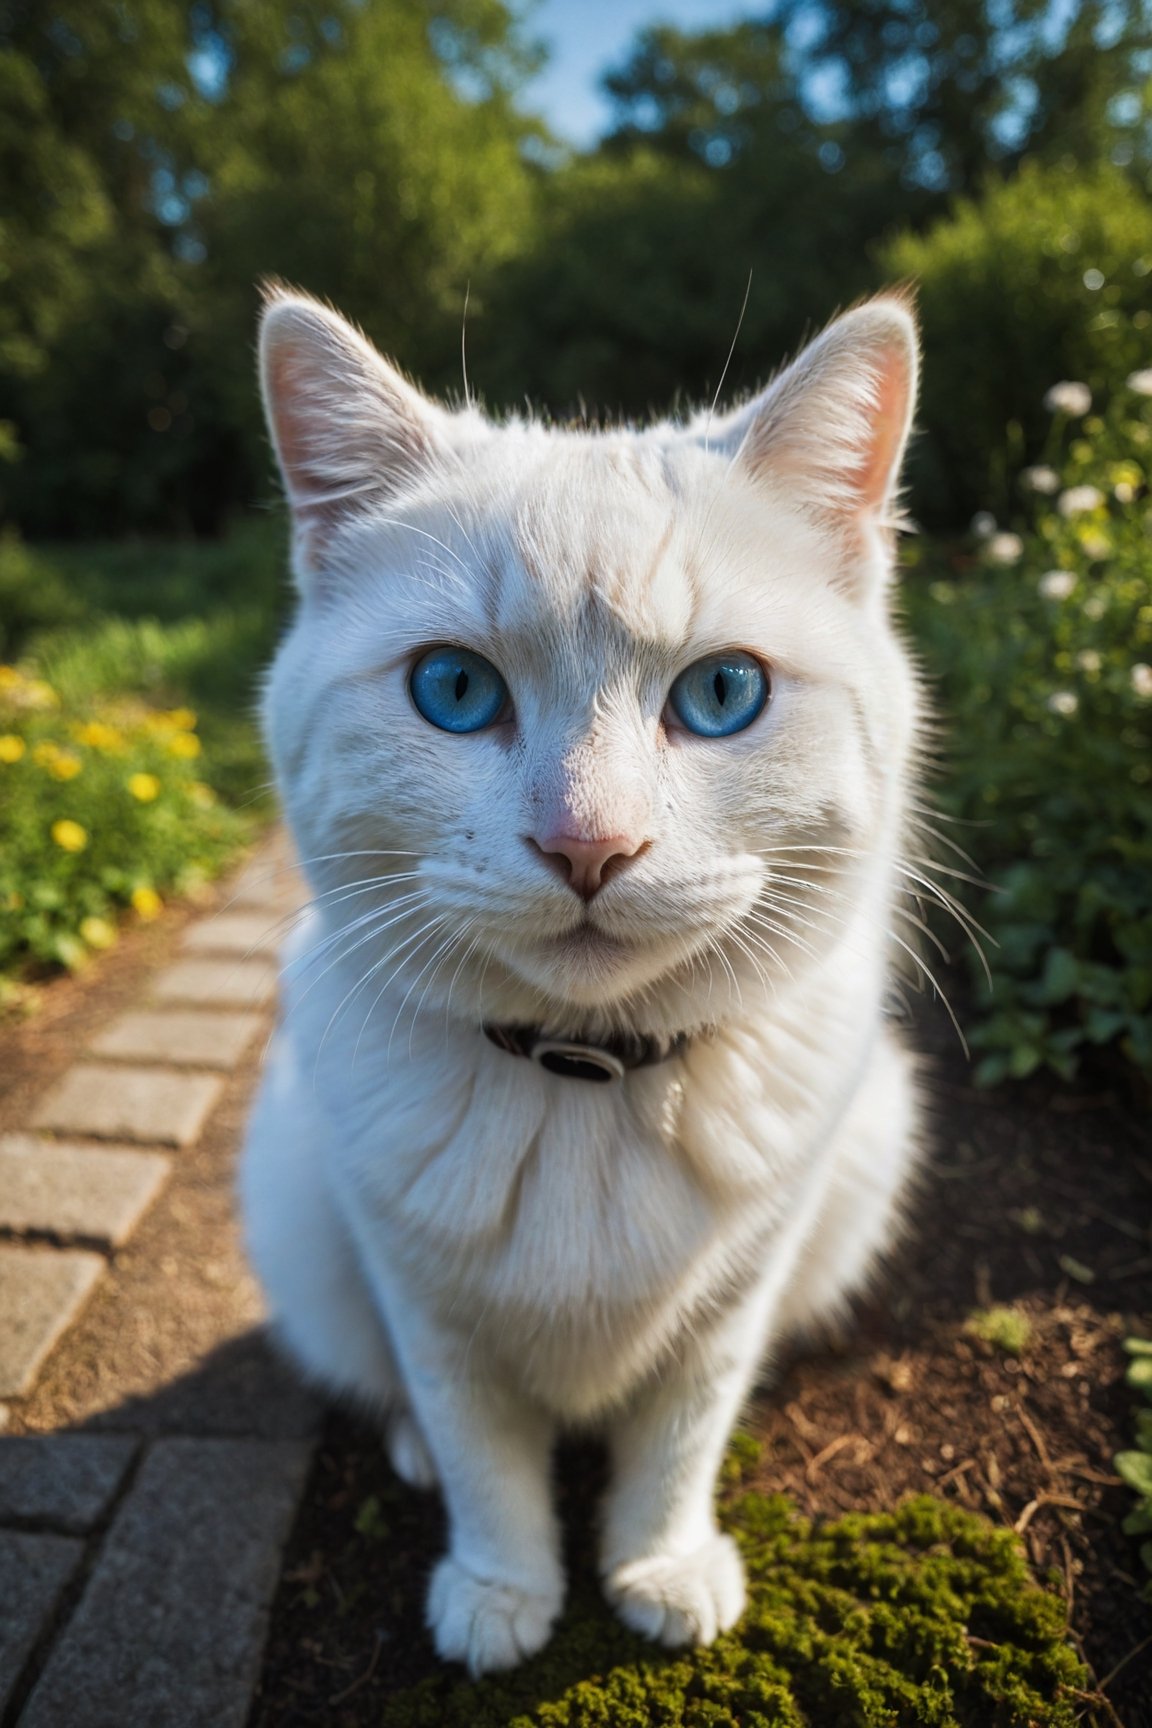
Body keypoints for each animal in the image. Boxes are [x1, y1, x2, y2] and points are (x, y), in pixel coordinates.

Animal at [241, 283, 925, 1672]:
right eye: (454, 689)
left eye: (723, 693)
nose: (588, 846)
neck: (585, 1079)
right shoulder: (425, 1305)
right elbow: (479, 1449)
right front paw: (501, 1594)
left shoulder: (735, 1299)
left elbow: (679, 1437)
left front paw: (659, 1569)